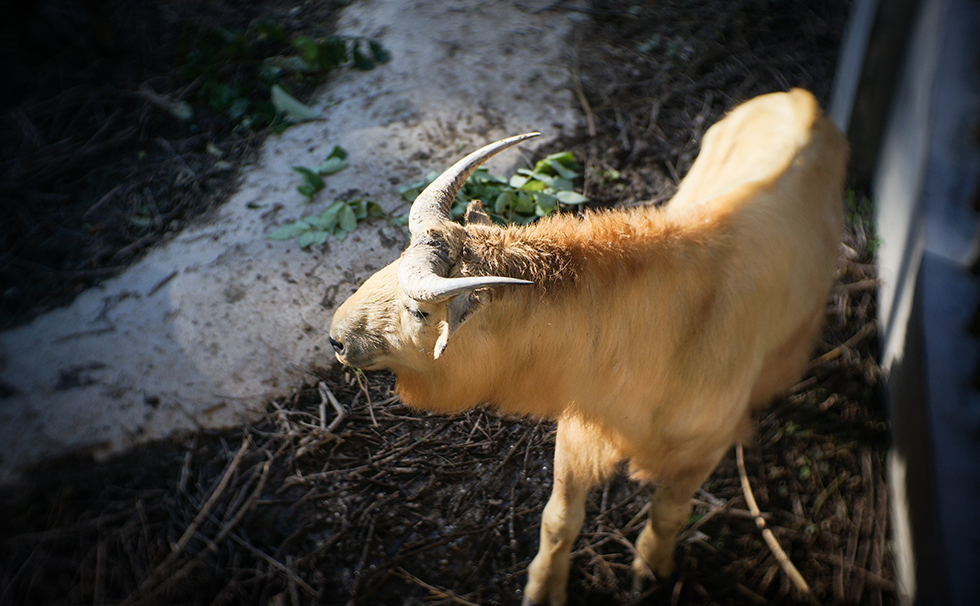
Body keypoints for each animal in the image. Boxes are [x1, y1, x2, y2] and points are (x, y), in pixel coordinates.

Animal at [328, 88, 844, 604]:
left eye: (419, 312)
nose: (336, 336)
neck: (674, 328)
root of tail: (801, 97)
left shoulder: (702, 453)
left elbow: (669, 515)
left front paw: (650, 571)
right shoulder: (580, 434)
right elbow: (559, 520)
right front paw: (543, 588)